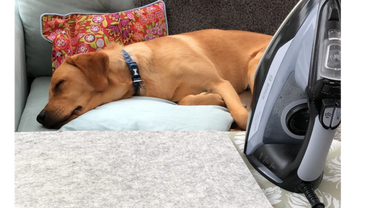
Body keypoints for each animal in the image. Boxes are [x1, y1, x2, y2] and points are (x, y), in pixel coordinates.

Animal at [36, 28, 272, 130]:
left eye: (60, 84)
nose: (39, 117)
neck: (137, 70)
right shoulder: (179, 95)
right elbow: (184, 101)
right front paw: (216, 99)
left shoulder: (220, 82)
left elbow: (241, 116)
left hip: (254, 64)